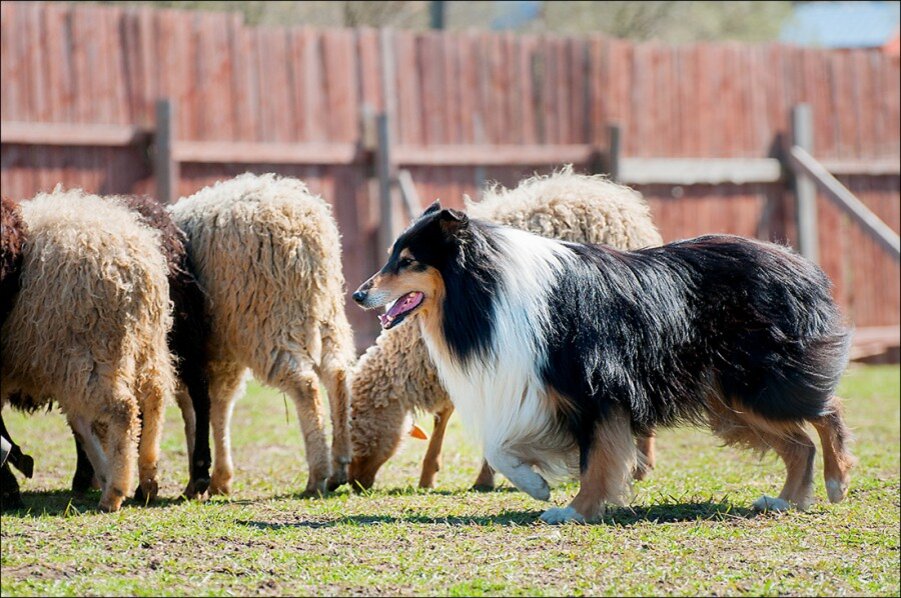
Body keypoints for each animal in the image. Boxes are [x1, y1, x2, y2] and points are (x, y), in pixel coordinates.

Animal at [0, 190, 176, 512]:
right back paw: (146, 479)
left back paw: (114, 492)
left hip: (91, 349)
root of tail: (137, 266)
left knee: (123, 410)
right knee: (153, 399)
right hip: (145, 345)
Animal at [169, 173, 356, 496]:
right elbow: (219, 403)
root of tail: (303, 228)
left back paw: (318, 474)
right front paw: (219, 479)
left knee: (305, 384)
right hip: (325, 312)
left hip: (267, 320)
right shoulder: (220, 352)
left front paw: (199, 479)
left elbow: (193, 407)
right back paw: (339, 467)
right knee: (337, 373)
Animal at [348, 168, 664, 492]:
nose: (352, 483)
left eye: (356, 424)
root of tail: (612, 193)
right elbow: (445, 415)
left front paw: (479, 476)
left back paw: (641, 466)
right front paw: (430, 474)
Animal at [352, 202, 852, 524]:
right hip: (729, 397)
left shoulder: (596, 392)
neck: (485, 288)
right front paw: (537, 486)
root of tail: (801, 265)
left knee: (827, 413)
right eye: (392, 256)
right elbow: (498, 447)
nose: (357, 294)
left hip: (758, 381)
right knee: (800, 443)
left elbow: (596, 460)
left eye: (408, 260)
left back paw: (836, 482)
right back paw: (787, 502)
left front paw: (573, 511)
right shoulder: (535, 392)